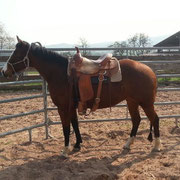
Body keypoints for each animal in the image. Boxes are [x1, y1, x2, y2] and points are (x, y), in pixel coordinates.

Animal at [1, 36, 161, 156]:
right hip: (132, 101)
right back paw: (128, 144)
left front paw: (65, 150)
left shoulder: (63, 108)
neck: (61, 74)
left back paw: (157, 146)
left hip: (146, 102)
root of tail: (149, 70)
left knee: (155, 119)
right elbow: (75, 124)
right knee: (136, 120)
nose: (4, 71)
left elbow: (66, 128)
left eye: (16, 53)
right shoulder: (73, 106)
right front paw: (77, 144)